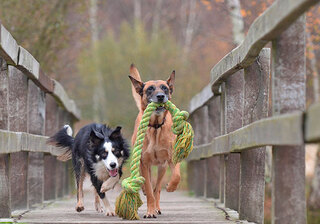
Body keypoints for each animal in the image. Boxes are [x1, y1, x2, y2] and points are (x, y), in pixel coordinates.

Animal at [129, 64, 181, 218]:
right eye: (150, 89)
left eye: (164, 88)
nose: (160, 96)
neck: (156, 127)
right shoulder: (144, 162)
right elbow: (148, 188)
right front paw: (150, 211)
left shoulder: (171, 158)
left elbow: (176, 176)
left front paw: (171, 187)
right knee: (149, 186)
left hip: (162, 167)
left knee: (157, 188)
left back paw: (157, 206)